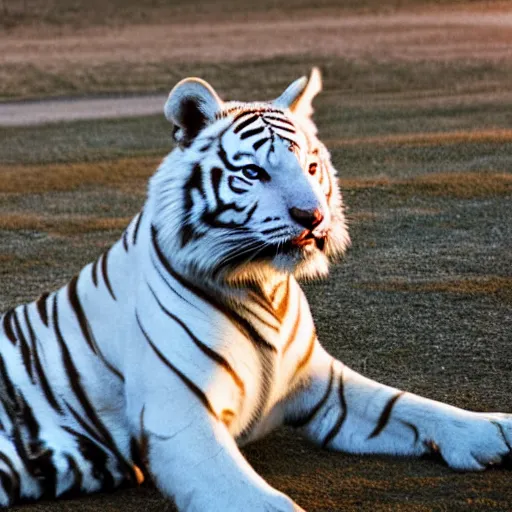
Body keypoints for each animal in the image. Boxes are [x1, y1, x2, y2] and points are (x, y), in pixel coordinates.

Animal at [0, 69, 510, 512]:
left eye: (311, 166)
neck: (265, 284)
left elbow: (409, 406)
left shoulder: (322, 384)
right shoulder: (180, 418)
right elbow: (256, 500)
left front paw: (493, 430)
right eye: (253, 174)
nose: (314, 217)